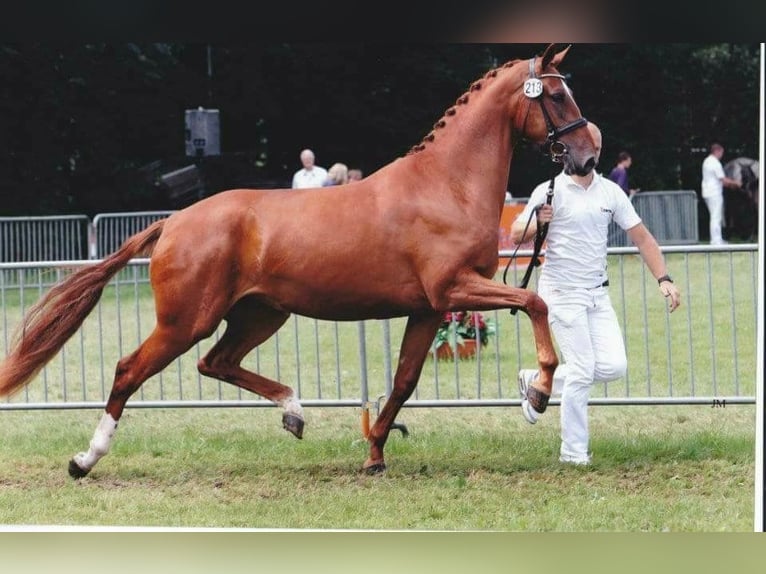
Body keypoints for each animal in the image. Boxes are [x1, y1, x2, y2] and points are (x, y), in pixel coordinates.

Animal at [0, 44, 596, 476]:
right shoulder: (454, 289)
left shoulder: (428, 309)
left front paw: (375, 453)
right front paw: (538, 391)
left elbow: (404, 381)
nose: (588, 156)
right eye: (556, 97)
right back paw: (85, 460)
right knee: (130, 370)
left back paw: (293, 411)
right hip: (186, 320)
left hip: (260, 314)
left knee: (215, 362)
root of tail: (173, 221)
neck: (446, 185)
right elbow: (535, 301)